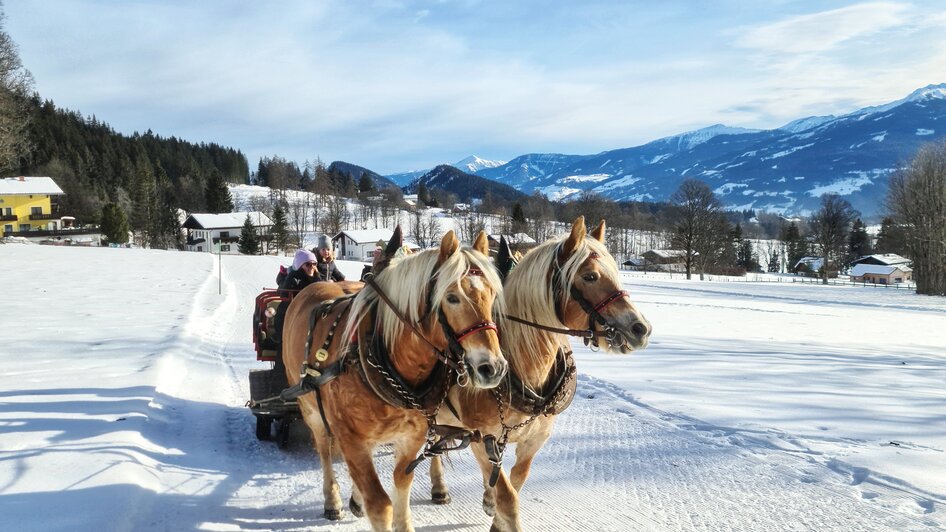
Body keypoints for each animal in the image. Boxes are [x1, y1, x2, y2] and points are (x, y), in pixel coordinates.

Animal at [278, 229, 506, 532]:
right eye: (452, 298)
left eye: (491, 294)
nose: (493, 368)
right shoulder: (351, 437)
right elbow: (380, 505)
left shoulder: (411, 437)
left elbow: (402, 484)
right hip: (311, 409)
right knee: (324, 450)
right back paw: (332, 501)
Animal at [434, 217, 648, 532]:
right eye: (590, 277)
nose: (640, 328)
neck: (520, 366)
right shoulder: (480, 438)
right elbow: (508, 497)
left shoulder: (533, 440)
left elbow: (516, 482)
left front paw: (493, 510)